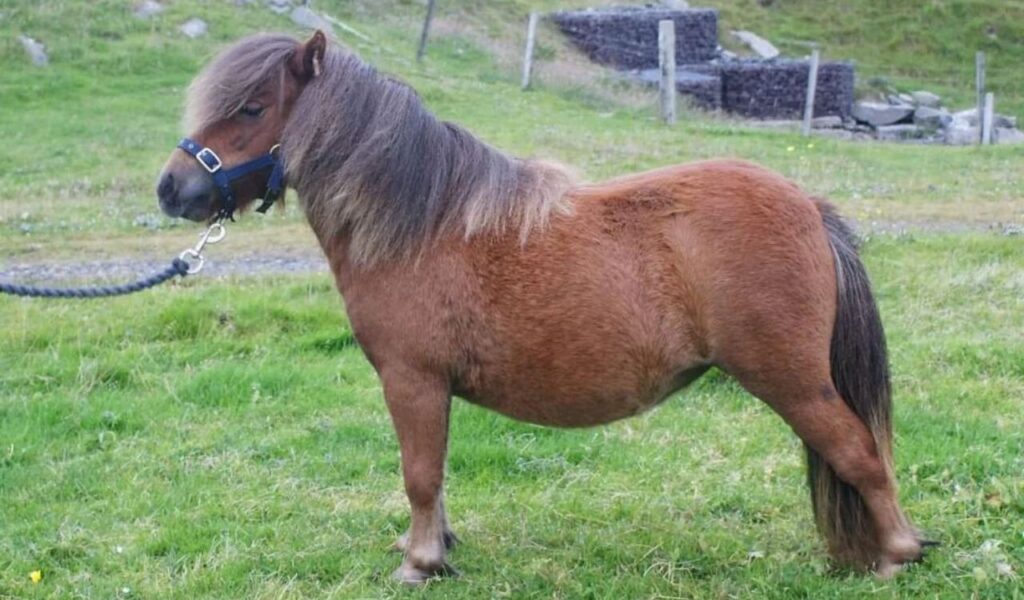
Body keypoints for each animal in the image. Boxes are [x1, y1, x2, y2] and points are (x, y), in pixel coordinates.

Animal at [156, 31, 931, 583]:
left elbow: (419, 474)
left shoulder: (412, 380)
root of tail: (809, 206)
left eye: (252, 107)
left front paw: (419, 563)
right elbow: (433, 477)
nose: (171, 189)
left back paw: (897, 553)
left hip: (792, 380)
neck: (422, 223)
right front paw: (437, 548)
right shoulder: (429, 390)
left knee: (861, 454)